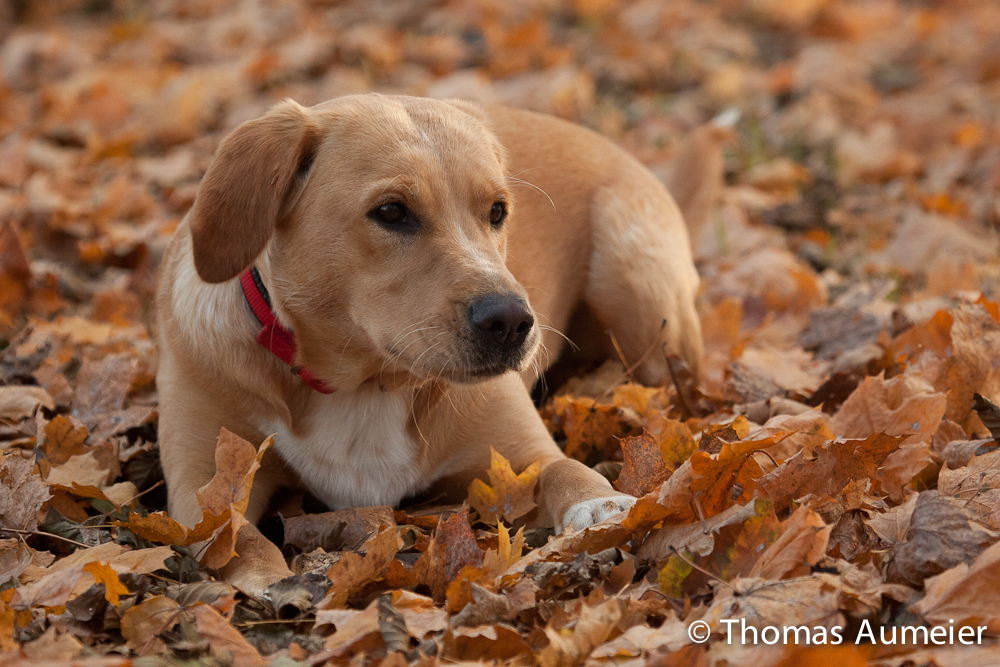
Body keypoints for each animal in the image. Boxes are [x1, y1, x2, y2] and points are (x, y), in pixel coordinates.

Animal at [154, 92, 704, 596]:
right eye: (391, 211)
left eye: (498, 211)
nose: (511, 321)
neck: (365, 384)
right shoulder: (201, 489)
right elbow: (236, 537)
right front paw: (275, 581)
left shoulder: (521, 457)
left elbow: (565, 468)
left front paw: (598, 507)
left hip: (639, 292)